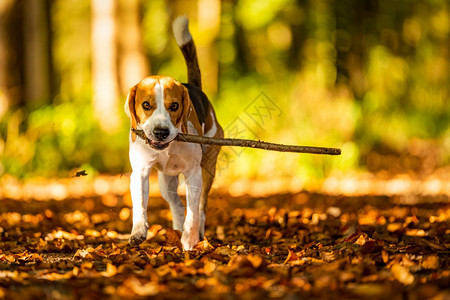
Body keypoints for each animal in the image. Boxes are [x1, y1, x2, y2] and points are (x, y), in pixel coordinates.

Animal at [125, 17, 223, 251]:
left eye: (175, 106)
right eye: (146, 105)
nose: (161, 132)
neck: (167, 147)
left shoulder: (193, 174)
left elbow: (193, 212)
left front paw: (190, 239)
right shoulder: (140, 172)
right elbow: (140, 205)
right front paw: (138, 231)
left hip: (208, 168)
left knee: (200, 207)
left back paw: (196, 234)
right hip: (165, 183)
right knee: (176, 204)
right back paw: (177, 228)